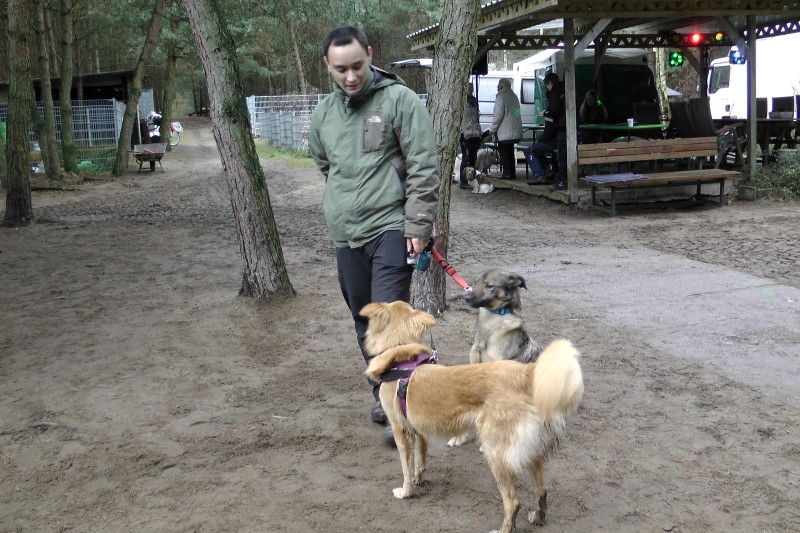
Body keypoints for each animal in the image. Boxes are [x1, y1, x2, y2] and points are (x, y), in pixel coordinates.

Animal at [361, 301, 584, 533]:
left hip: (496, 454)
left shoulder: (400, 430)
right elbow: (419, 461)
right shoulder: (419, 431)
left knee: (513, 502)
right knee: (542, 490)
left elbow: (406, 467)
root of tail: (525, 374)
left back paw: (503, 529)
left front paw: (406, 492)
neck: (402, 359)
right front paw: (418, 480)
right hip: (531, 451)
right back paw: (538, 517)